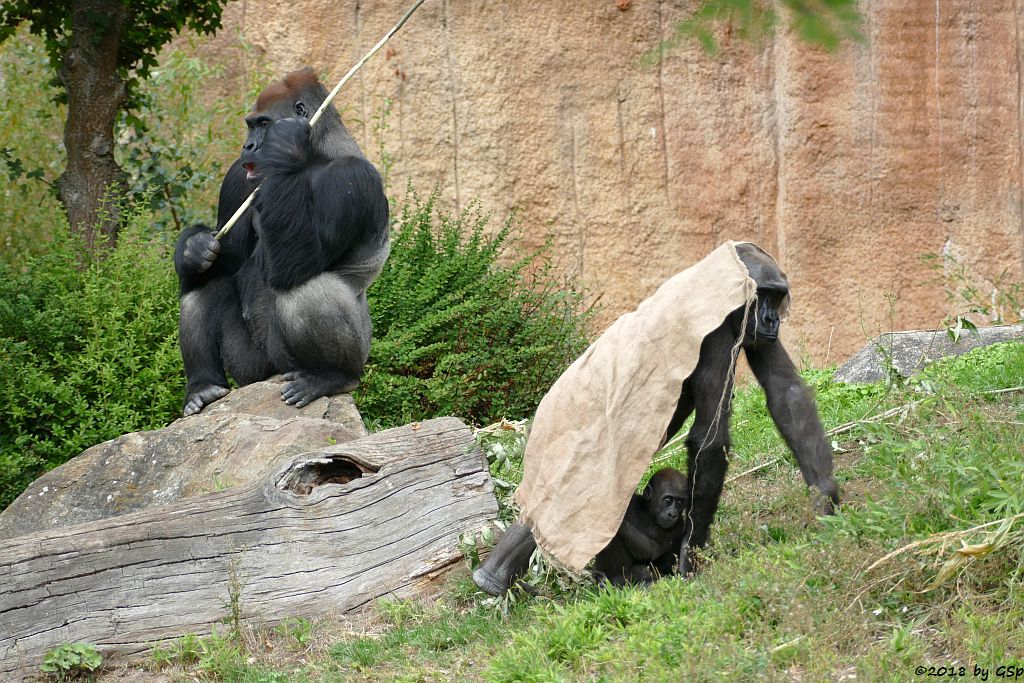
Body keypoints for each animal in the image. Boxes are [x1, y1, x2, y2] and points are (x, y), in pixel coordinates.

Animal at [174, 68, 389, 417]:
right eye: (251, 125)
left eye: (264, 124)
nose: (247, 146)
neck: (318, 152)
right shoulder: (239, 175)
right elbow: (229, 256)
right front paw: (192, 250)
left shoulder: (352, 177)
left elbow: (297, 263)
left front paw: (286, 147)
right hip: (253, 372)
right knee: (204, 283)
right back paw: (203, 386)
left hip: (322, 361)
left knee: (304, 289)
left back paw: (331, 376)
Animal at [471, 242, 839, 593]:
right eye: (764, 295)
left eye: (777, 297)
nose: (773, 319)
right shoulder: (720, 332)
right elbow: (709, 439)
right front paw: (690, 558)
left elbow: (786, 392)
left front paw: (826, 500)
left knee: (555, 498)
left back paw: (494, 575)